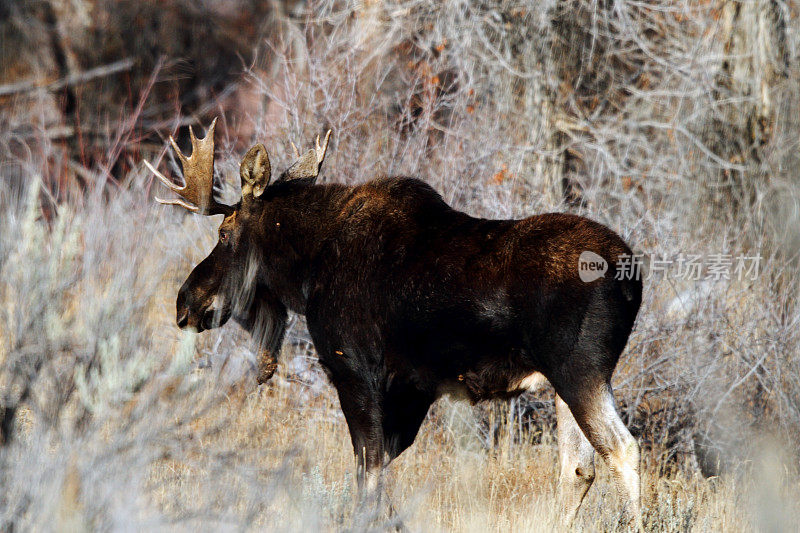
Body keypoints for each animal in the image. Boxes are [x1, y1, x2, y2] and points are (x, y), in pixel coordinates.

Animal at [144, 121, 644, 528]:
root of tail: (632, 276)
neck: (306, 272)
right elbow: (380, 472)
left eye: (224, 234)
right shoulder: (413, 389)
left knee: (623, 449)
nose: (185, 302)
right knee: (578, 468)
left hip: (579, 370)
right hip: (565, 382)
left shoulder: (354, 371)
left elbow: (366, 477)